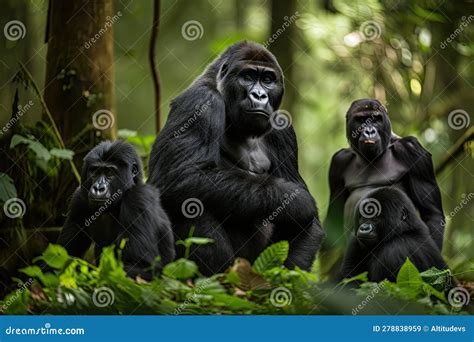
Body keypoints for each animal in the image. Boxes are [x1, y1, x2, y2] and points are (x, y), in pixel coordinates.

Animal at [58, 140, 175, 280]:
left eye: (110, 173)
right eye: (95, 172)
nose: (98, 188)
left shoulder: (138, 196)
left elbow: (143, 267)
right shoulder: (79, 198)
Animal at [150, 40, 324, 276]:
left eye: (267, 80)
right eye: (248, 76)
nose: (259, 95)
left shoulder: (284, 129)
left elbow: (310, 224)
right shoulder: (200, 102)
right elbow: (182, 174)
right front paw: (297, 201)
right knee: (190, 202)